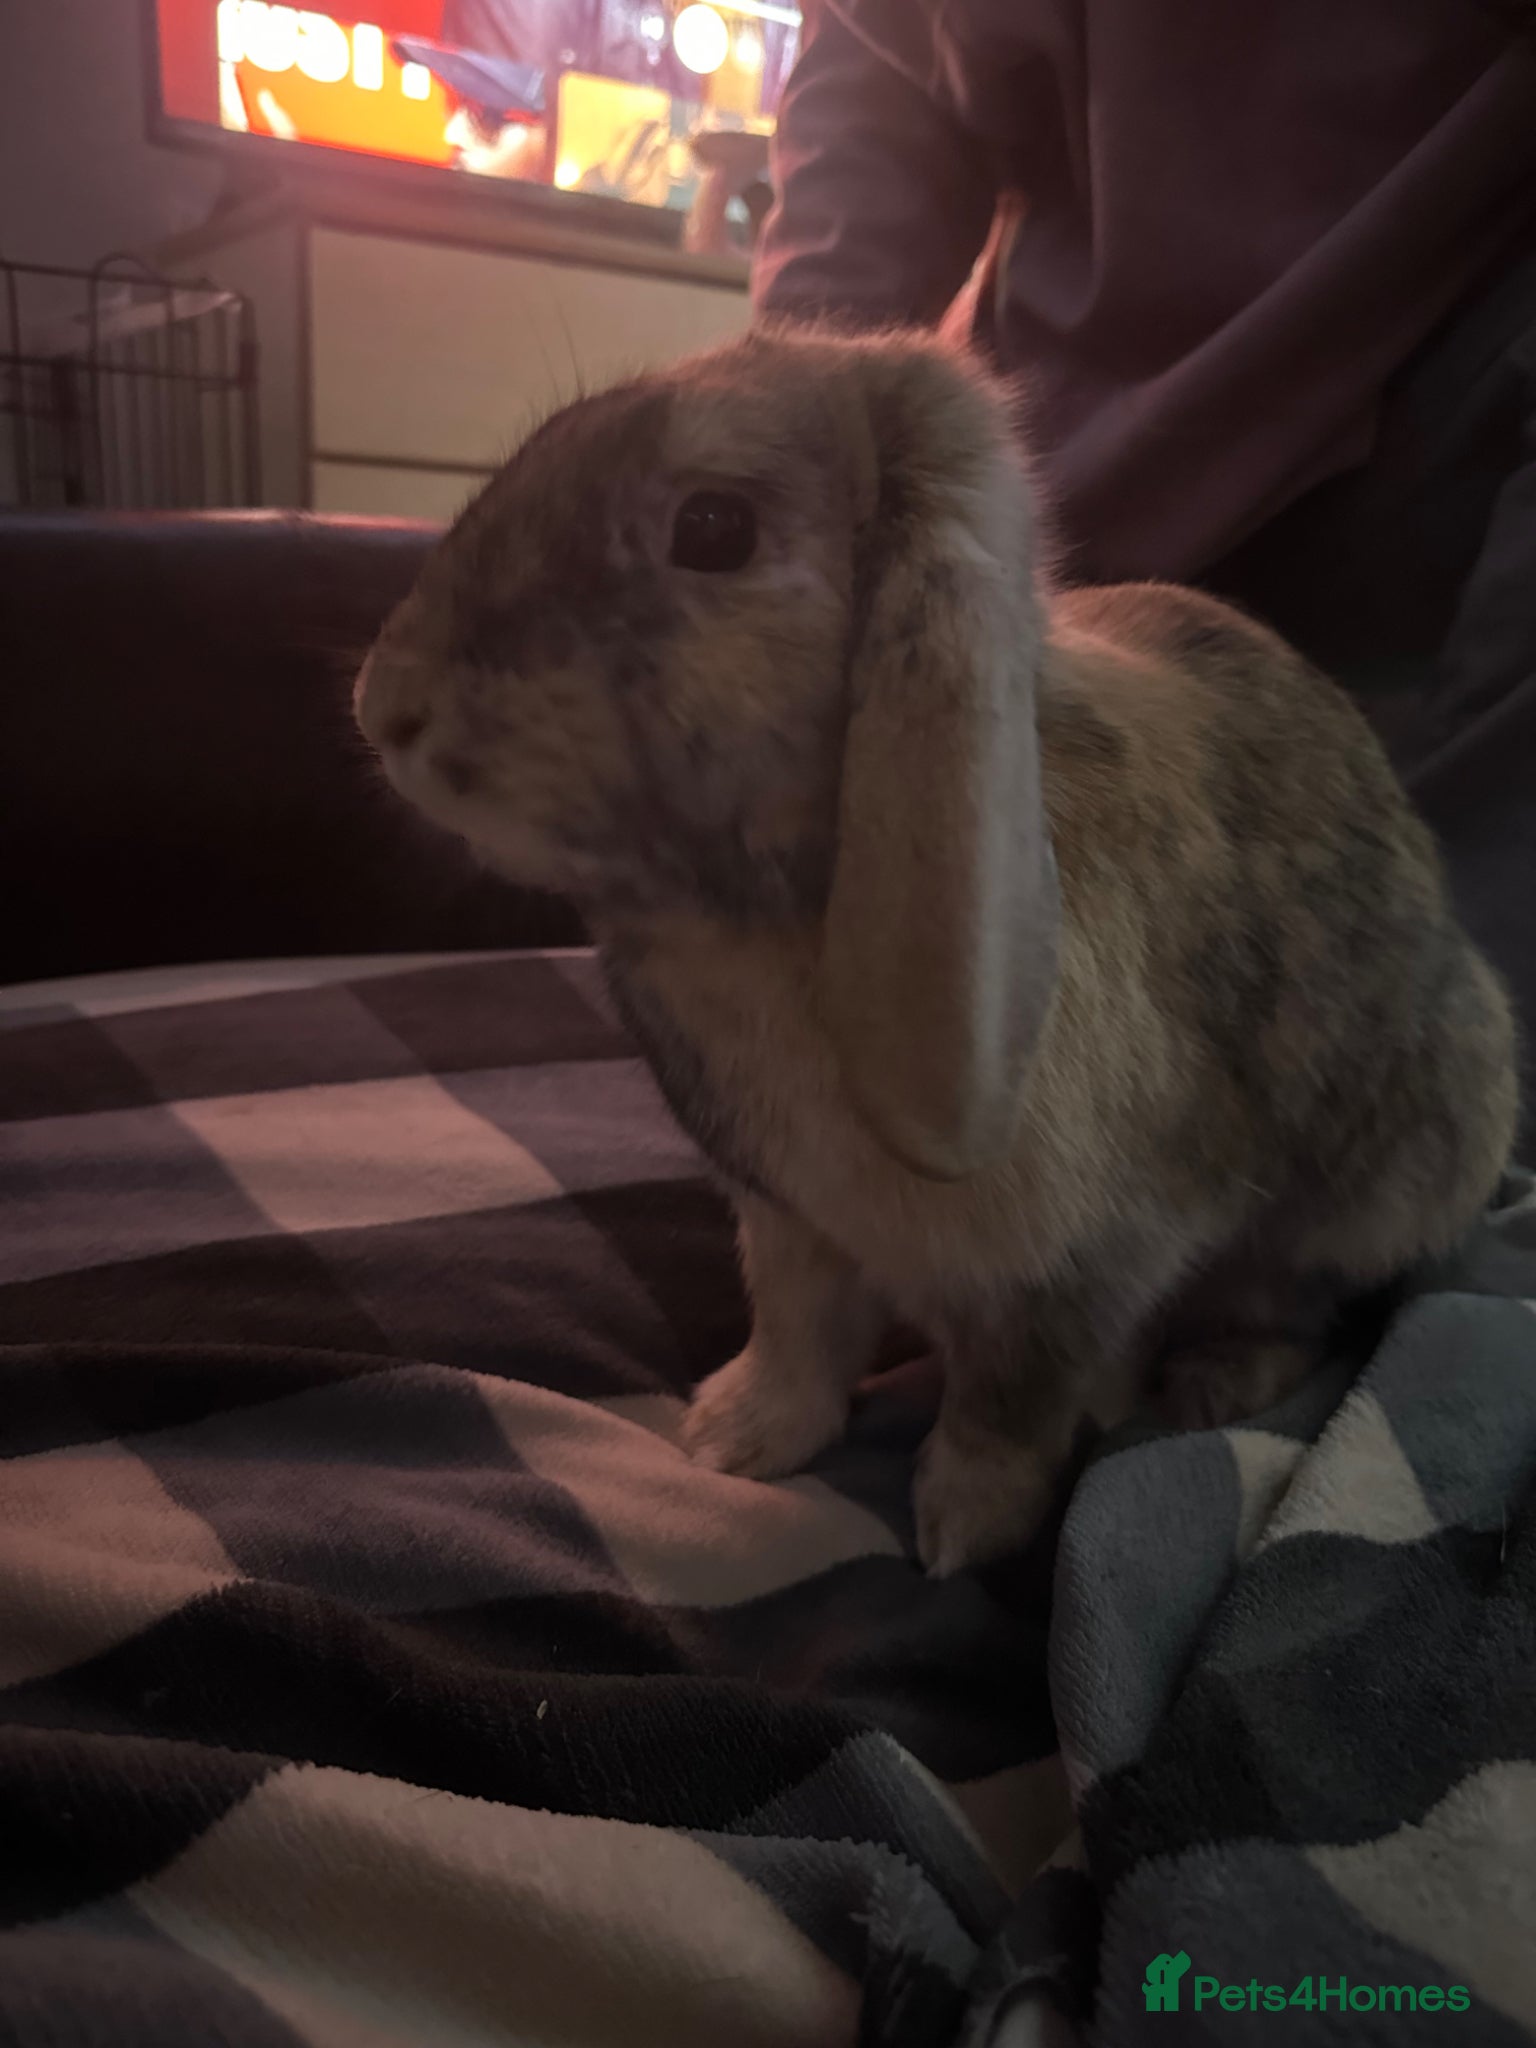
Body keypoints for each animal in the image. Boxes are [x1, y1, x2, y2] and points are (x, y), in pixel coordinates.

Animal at [354, 324, 1519, 1575]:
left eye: (713, 527)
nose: (387, 707)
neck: (768, 921)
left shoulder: (1082, 1263)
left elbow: (1010, 1401)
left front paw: (965, 1530)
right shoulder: (790, 1221)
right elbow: (800, 1331)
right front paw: (735, 1437)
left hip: (1381, 1179)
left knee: (1299, 1302)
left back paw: (1210, 1382)